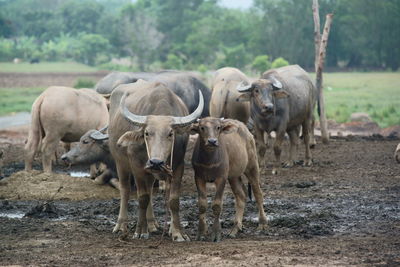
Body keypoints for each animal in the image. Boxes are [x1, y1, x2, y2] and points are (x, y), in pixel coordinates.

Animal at [108, 78, 205, 242]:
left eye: (171, 133)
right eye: (147, 133)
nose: (156, 162)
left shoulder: (178, 166)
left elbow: (173, 200)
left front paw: (177, 232)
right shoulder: (137, 166)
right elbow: (142, 198)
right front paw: (140, 231)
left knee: (150, 190)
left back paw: (153, 224)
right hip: (120, 162)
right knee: (125, 190)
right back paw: (121, 225)